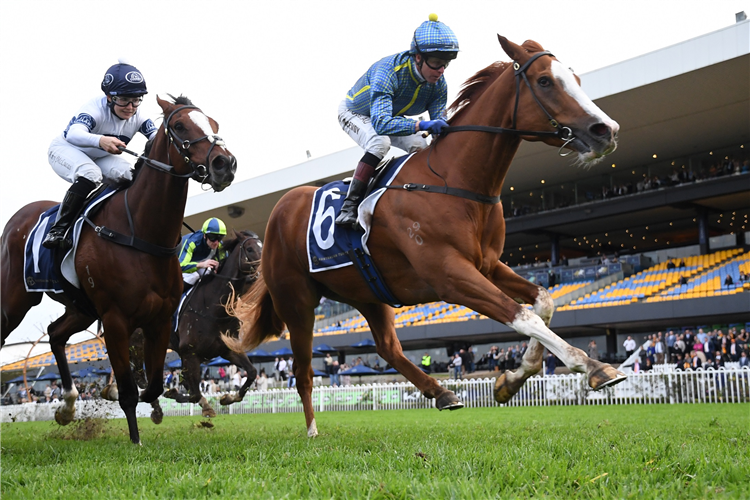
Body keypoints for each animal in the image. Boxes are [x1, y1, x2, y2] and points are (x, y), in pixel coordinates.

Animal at [0, 95, 236, 444]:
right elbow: (128, 389)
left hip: (81, 308)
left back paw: (67, 406)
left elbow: (154, 383)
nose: (225, 164)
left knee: (55, 333)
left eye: (215, 124)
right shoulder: (114, 320)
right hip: (15, 302)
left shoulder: (158, 320)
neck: (141, 231)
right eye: (180, 126)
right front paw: (135, 438)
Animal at [226, 36, 624, 438]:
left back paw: (441, 392)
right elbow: (524, 316)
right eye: (544, 81)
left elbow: (544, 302)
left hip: (367, 294)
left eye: (575, 78)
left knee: (388, 349)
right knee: (303, 370)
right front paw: (592, 366)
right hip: (297, 301)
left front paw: (513, 378)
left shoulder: (487, 265)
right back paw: (311, 430)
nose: (606, 130)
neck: (455, 181)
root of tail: (280, 209)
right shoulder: (449, 275)